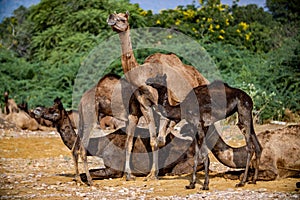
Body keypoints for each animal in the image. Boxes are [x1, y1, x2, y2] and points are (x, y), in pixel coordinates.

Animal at [107, 11, 209, 182]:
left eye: (122, 18)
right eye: (113, 15)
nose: (111, 19)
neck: (143, 78)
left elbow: (159, 140)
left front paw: (154, 174)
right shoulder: (143, 107)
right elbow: (145, 141)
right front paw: (136, 174)